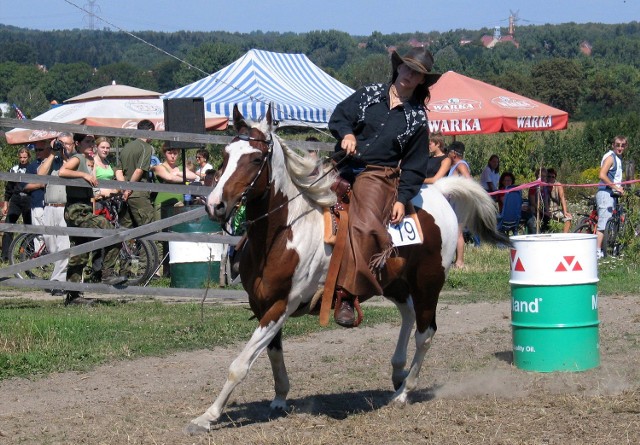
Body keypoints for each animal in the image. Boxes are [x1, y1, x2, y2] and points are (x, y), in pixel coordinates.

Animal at [190, 104, 504, 430]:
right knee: (408, 314)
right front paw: (279, 398)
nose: (215, 205)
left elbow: (240, 364)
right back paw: (398, 371)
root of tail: (438, 192)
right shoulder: (261, 303)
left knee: (425, 332)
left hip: (428, 284)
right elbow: (273, 353)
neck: (285, 232)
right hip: (393, 283)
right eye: (226, 154)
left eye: (254, 159)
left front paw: (208, 416)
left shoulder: (281, 304)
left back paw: (404, 392)